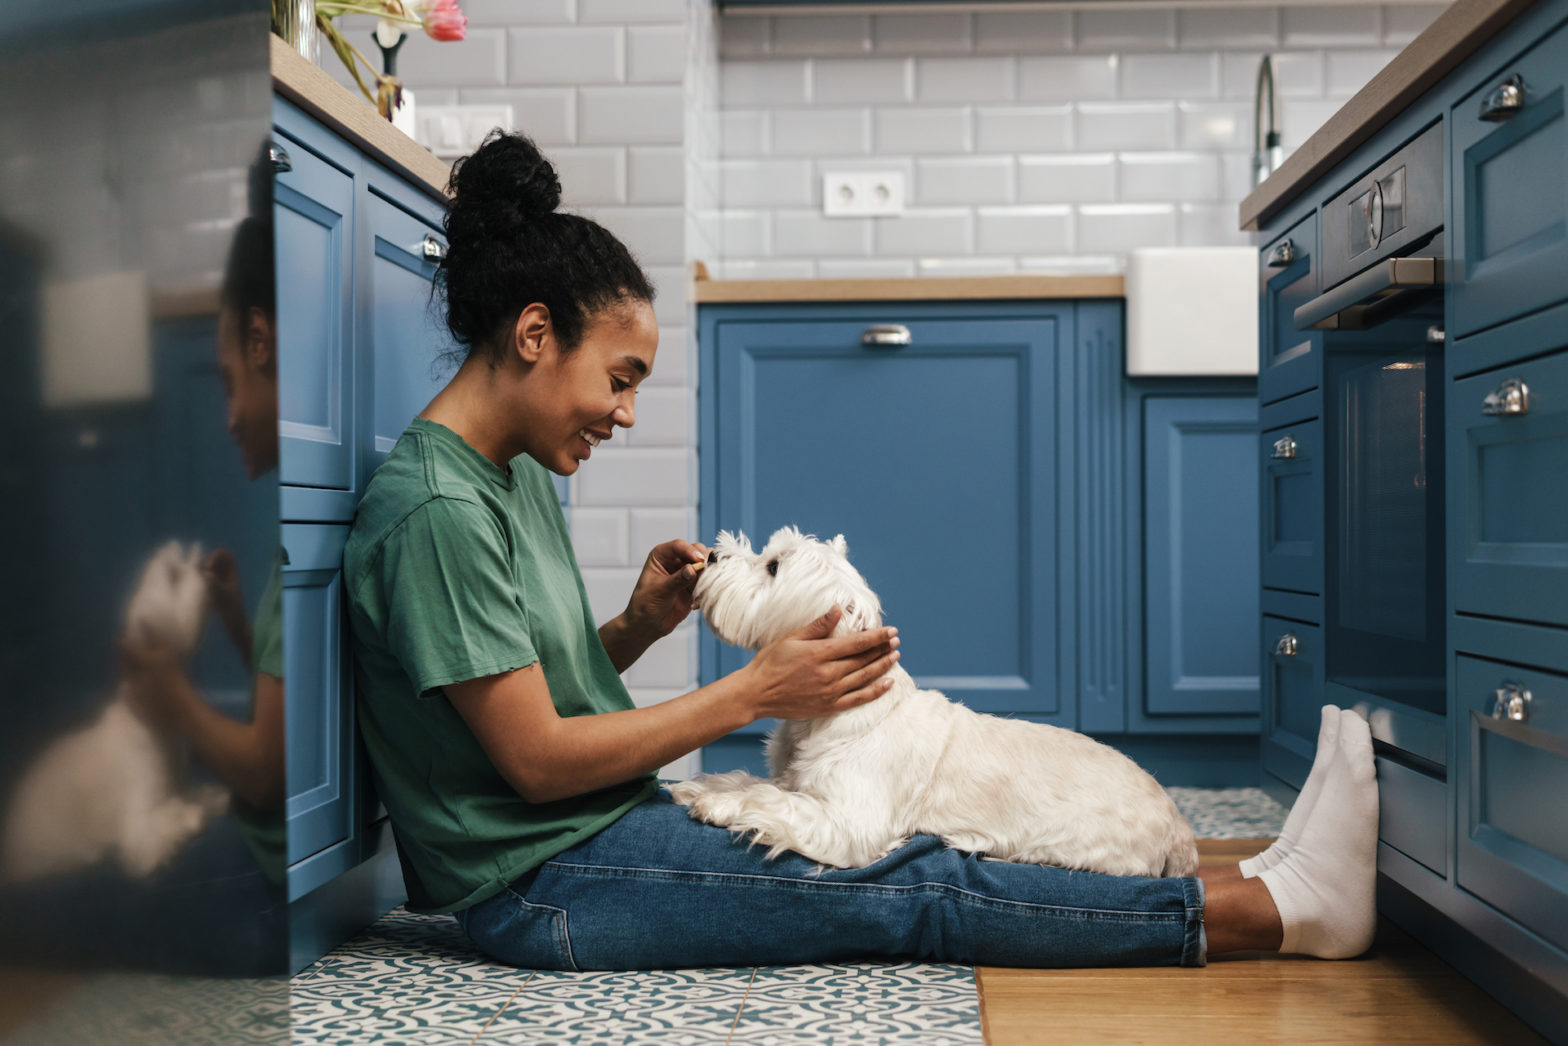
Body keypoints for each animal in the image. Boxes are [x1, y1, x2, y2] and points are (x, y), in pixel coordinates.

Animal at [1, 548, 228, 884]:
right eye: (173, 575)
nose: (204, 566)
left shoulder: (176, 779)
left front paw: (209, 798)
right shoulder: (139, 824)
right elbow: (157, 831)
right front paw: (189, 813)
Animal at [671, 526, 1197, 878]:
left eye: (773, 566)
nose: (711, 554)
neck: (835, 714)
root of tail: (1177, 825)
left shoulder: (849, 822)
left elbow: (773, 802)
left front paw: (721, 805)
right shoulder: (796, 778)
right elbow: (758, 781)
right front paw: (704, 787)